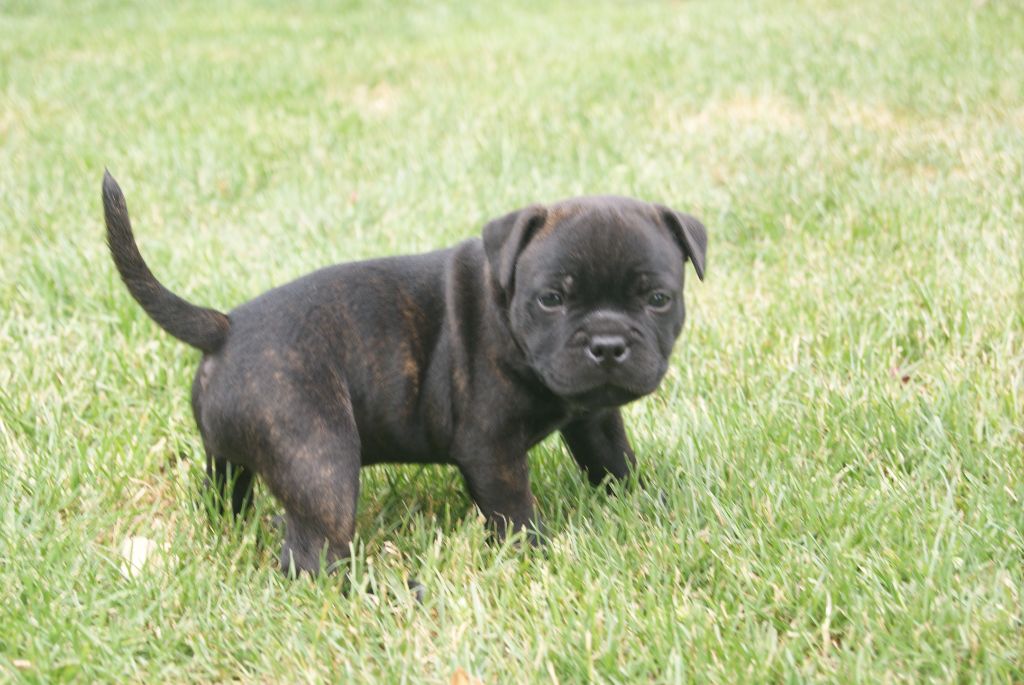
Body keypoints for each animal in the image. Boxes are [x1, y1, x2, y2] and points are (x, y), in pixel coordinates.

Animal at [102, 171, 706, 576]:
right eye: (552, 299)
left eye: (658, 299)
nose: (607, 344)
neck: (504, 305)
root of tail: (224, 327)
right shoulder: (491, 447)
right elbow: (513, 509)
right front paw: (533, 554)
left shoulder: (593, 417)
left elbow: (613, 460)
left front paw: (641, 501)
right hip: (321, 459)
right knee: (312, 554)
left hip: (230, 459)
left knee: (227, 492)